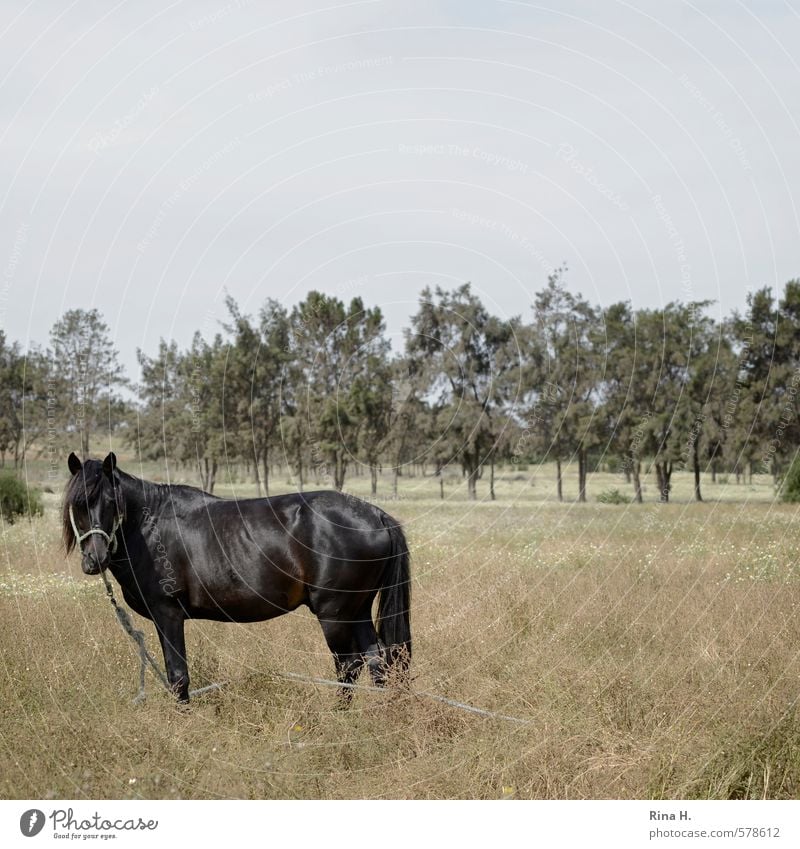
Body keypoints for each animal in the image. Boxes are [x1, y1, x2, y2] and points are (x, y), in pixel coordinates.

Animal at [63, 450, 412, 704]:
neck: (149, 526)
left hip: (335, 613)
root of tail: (376, 515)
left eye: (112, 502)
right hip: (357, 610)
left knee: (349, 665)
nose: (95, 559)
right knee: (377, 662)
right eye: (78, 504)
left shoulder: (167, 614)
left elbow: (177, 676)